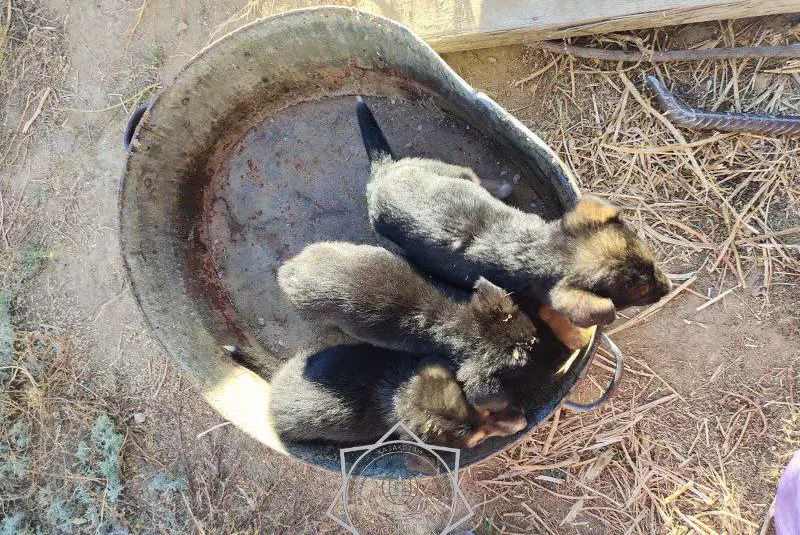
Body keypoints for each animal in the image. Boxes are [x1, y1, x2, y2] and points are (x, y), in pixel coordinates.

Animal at [354, 98, 668, 328]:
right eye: (641, 292)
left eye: (653, 262)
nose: (666, 288)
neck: (544, 248)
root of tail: (382, 171)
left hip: (450, 171)